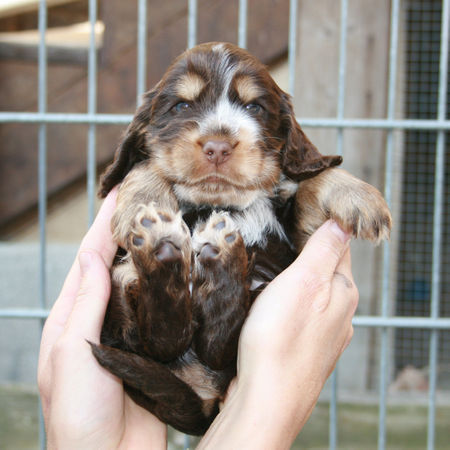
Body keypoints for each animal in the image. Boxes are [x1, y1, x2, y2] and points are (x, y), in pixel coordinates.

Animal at [90, 43, 390, 436]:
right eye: (181, 106)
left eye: (254, 107)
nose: (217, 147)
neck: (223, 204)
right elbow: (146, 164)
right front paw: (145, 201)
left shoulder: (297, 241)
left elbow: (312, 180)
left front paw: (361, 198)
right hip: (121, 310)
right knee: (166, 336)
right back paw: (166, 244)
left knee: (213, 339)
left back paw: (216, 253)